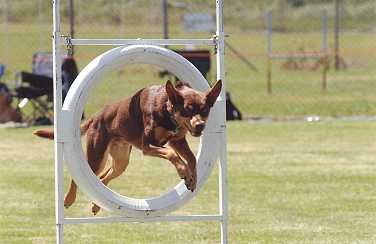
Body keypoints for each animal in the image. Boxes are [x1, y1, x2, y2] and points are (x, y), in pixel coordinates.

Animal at [33, 79, 222, 214]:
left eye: (205, 110)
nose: (200, 126)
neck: (167, 110)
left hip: (121, 160)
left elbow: (191, 158)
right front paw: (184, 172)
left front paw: (192, 178)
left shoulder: (178, 140)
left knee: (103, 178)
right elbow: (171, 154)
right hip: (96, 154)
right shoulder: (148, 145)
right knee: (81, 177)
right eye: (187, 110)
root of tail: (96, 116)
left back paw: (96, 205)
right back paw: (68, 199)